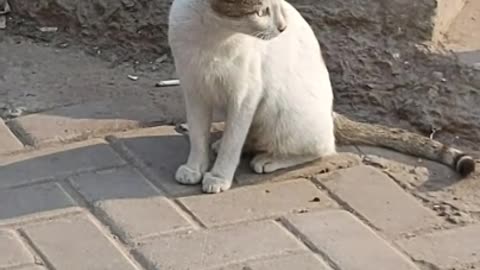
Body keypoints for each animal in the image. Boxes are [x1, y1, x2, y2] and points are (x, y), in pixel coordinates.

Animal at [167, 0, 474, 193]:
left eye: (275, 7)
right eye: (262, 10)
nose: (282, 27)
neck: (214, 35)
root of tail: (331, 113)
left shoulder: (245, 96)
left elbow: (233, 141)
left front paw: (218, 176)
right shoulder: (193, 88)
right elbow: (198, 135)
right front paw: (195, 166)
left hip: (282, 112)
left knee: (323, 148)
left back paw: (269, 158)